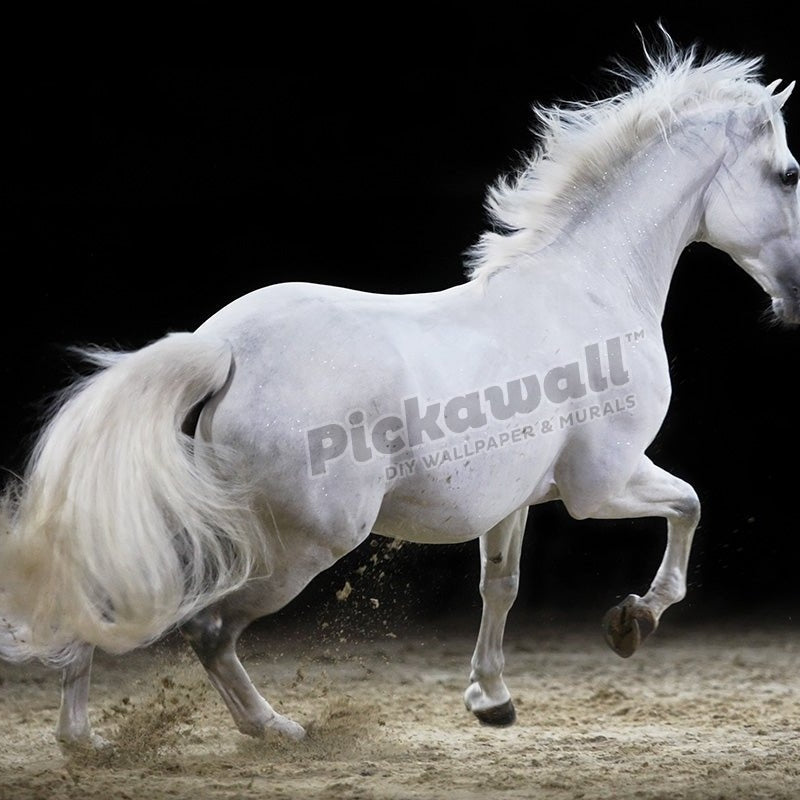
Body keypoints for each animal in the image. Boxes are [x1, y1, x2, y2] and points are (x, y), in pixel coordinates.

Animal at [1, 39, 799, 750]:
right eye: (789, 175)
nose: (793, 301)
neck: (592, 288)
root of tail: (224, 349)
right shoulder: (599, 485)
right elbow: (689, 506)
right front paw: (634, 621)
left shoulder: (512, 502)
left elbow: (501, 587)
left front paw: (491, 699)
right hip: (296, 547)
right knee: (206, 628)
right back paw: (273, 729)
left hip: (205, 522)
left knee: (112, 597)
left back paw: (83, 740)